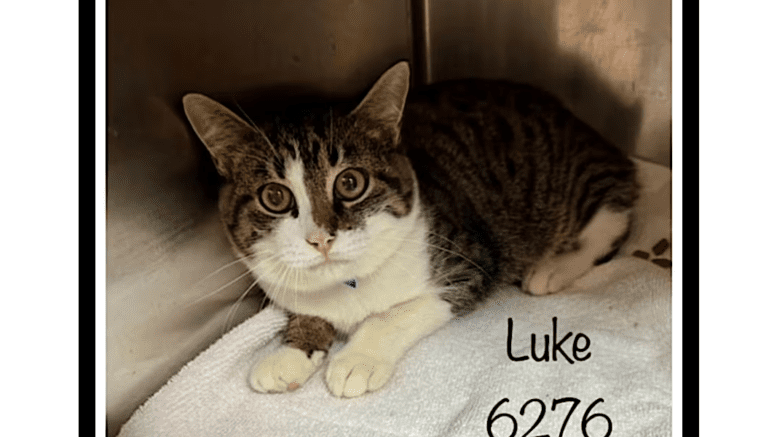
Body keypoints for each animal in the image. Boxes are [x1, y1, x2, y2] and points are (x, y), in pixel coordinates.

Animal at [182, 60, 636, 398]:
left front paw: (357, 359)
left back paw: (553, 268)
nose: (322, 238)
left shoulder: (470, 261)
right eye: (274, 196)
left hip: (577, 180)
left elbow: (398, 312)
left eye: (350, 182)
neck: (347, 282)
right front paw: (290, 351)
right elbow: (308, 311)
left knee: (613, 215)